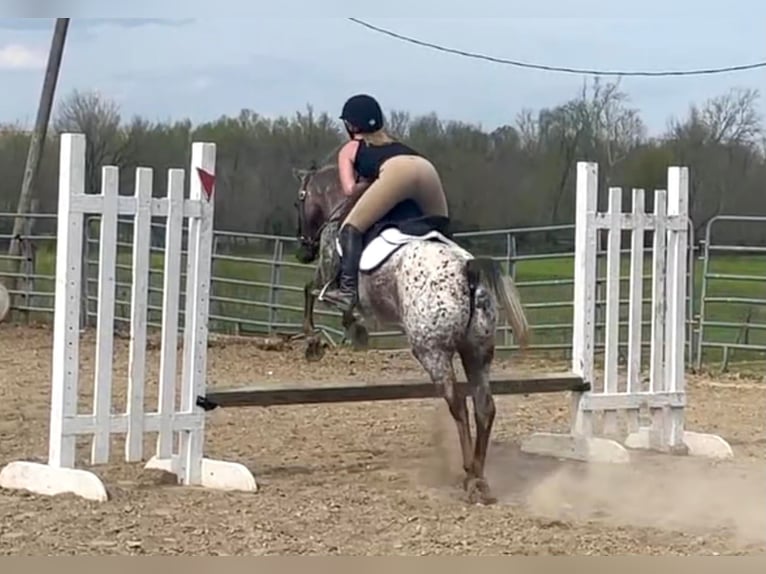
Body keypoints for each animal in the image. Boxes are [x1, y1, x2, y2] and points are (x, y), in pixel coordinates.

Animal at [292, 161, 532, 504]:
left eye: (298, 201)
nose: (303, 252)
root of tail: (468, 270)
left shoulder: (328, 277)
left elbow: (313, 292)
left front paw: (321, 338)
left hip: (431, 352)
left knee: (457, 404)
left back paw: (470, 477)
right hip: (477, 352)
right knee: (484, 407)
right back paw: (480, 478)